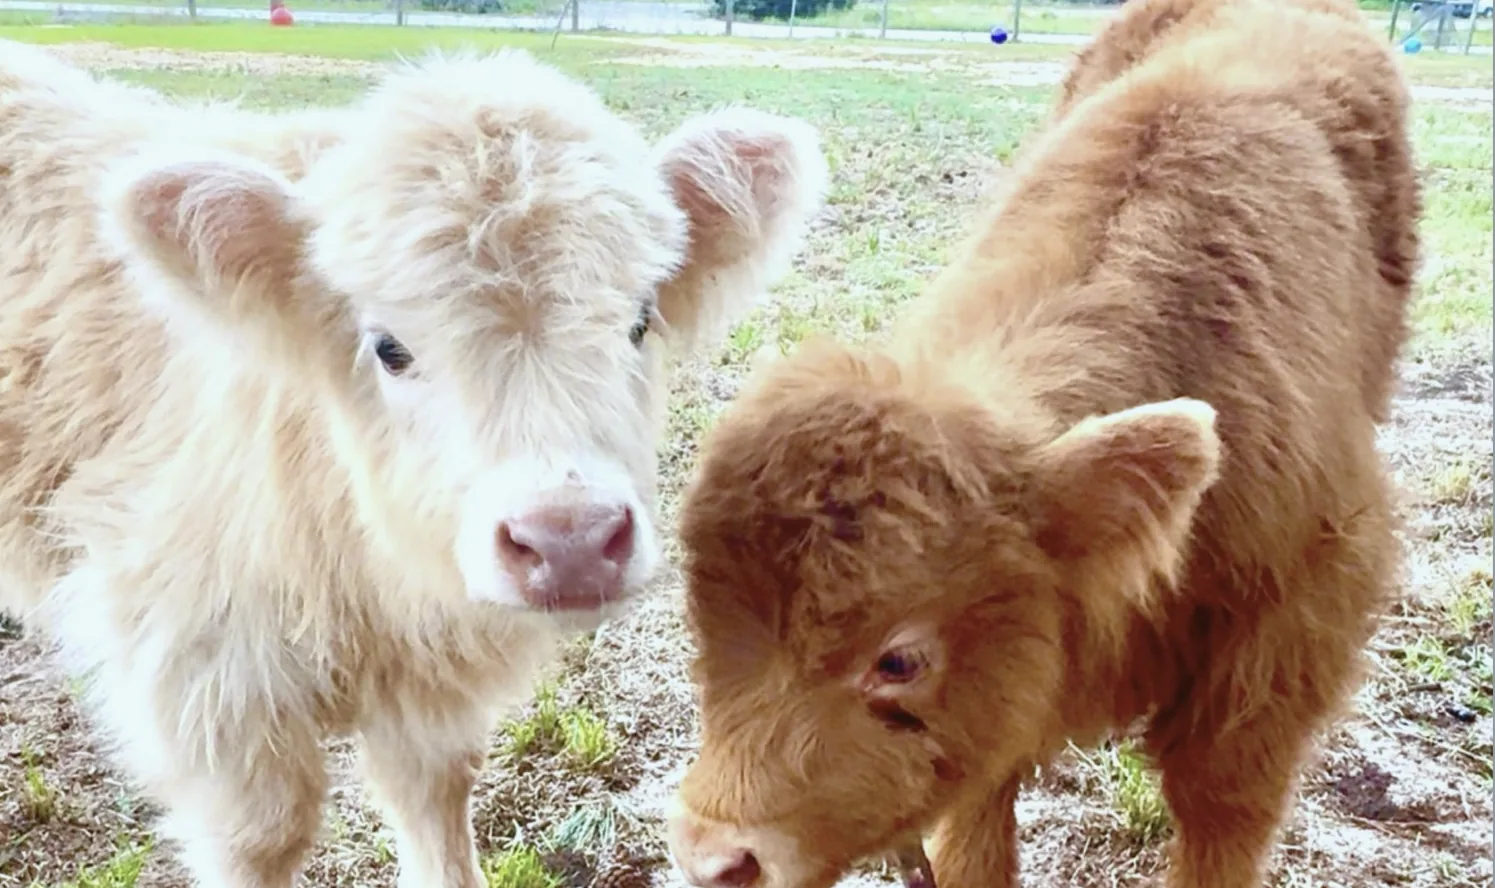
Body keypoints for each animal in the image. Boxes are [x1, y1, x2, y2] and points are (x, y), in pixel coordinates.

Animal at [0, 42, 827, 888]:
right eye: (389, 347)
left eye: (639, 320)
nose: (569, 542)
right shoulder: (202, 686)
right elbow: (265, 837)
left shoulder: (428, 707)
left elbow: (435, 801)